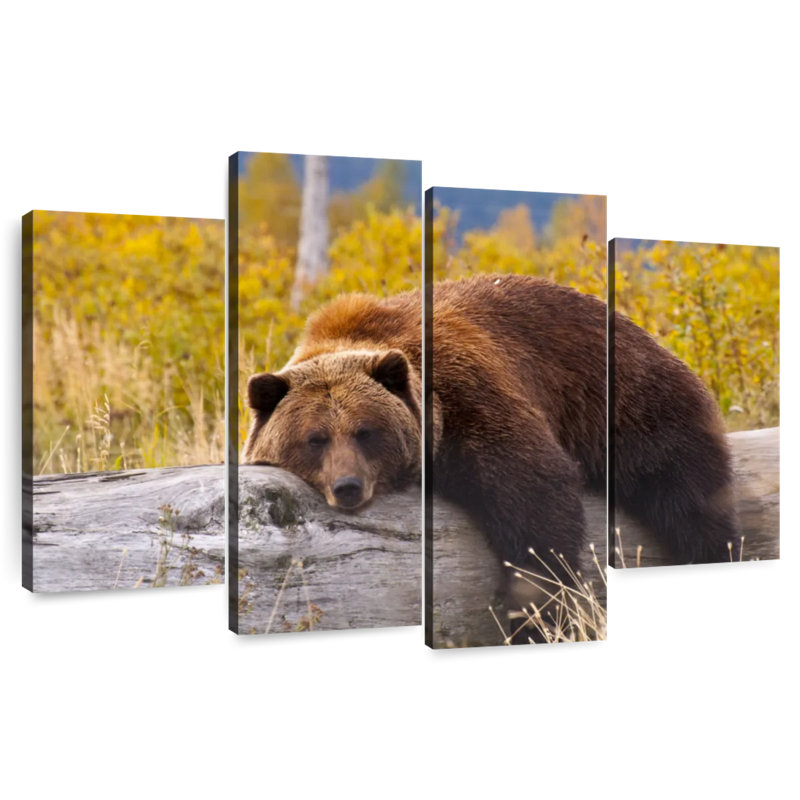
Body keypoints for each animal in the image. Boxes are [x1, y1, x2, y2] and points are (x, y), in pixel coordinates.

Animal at [243, 274, 739, 639]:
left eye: (366, 432)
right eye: (315, 438)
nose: (347, 486)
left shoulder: (467, 393)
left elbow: (534, 494)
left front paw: (533, 612)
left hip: (628, 402)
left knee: (687, 492)